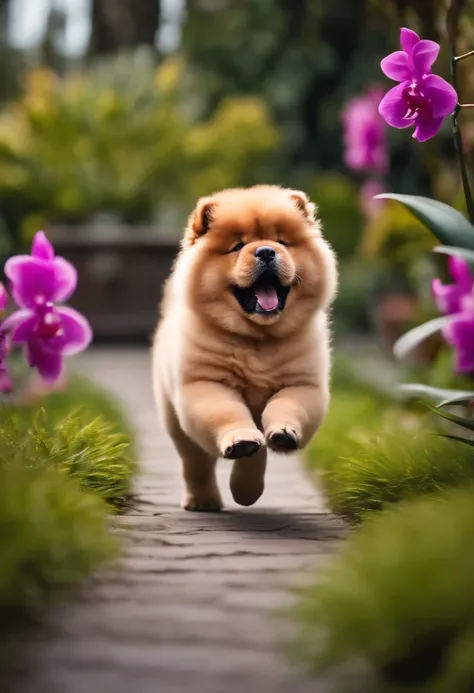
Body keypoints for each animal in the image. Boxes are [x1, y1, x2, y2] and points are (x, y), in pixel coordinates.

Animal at [152, 184, 336, 508]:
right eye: (238, 246)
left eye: (282, 241)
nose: (266, 251)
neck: (257, 339)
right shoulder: (206, 383)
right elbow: (229, 415)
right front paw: (241, 440)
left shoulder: (303, 384)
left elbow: (286, 406)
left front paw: (283, 433)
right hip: (174, 421)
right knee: (196, 463)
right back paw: (204, 501)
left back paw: (246, 489)